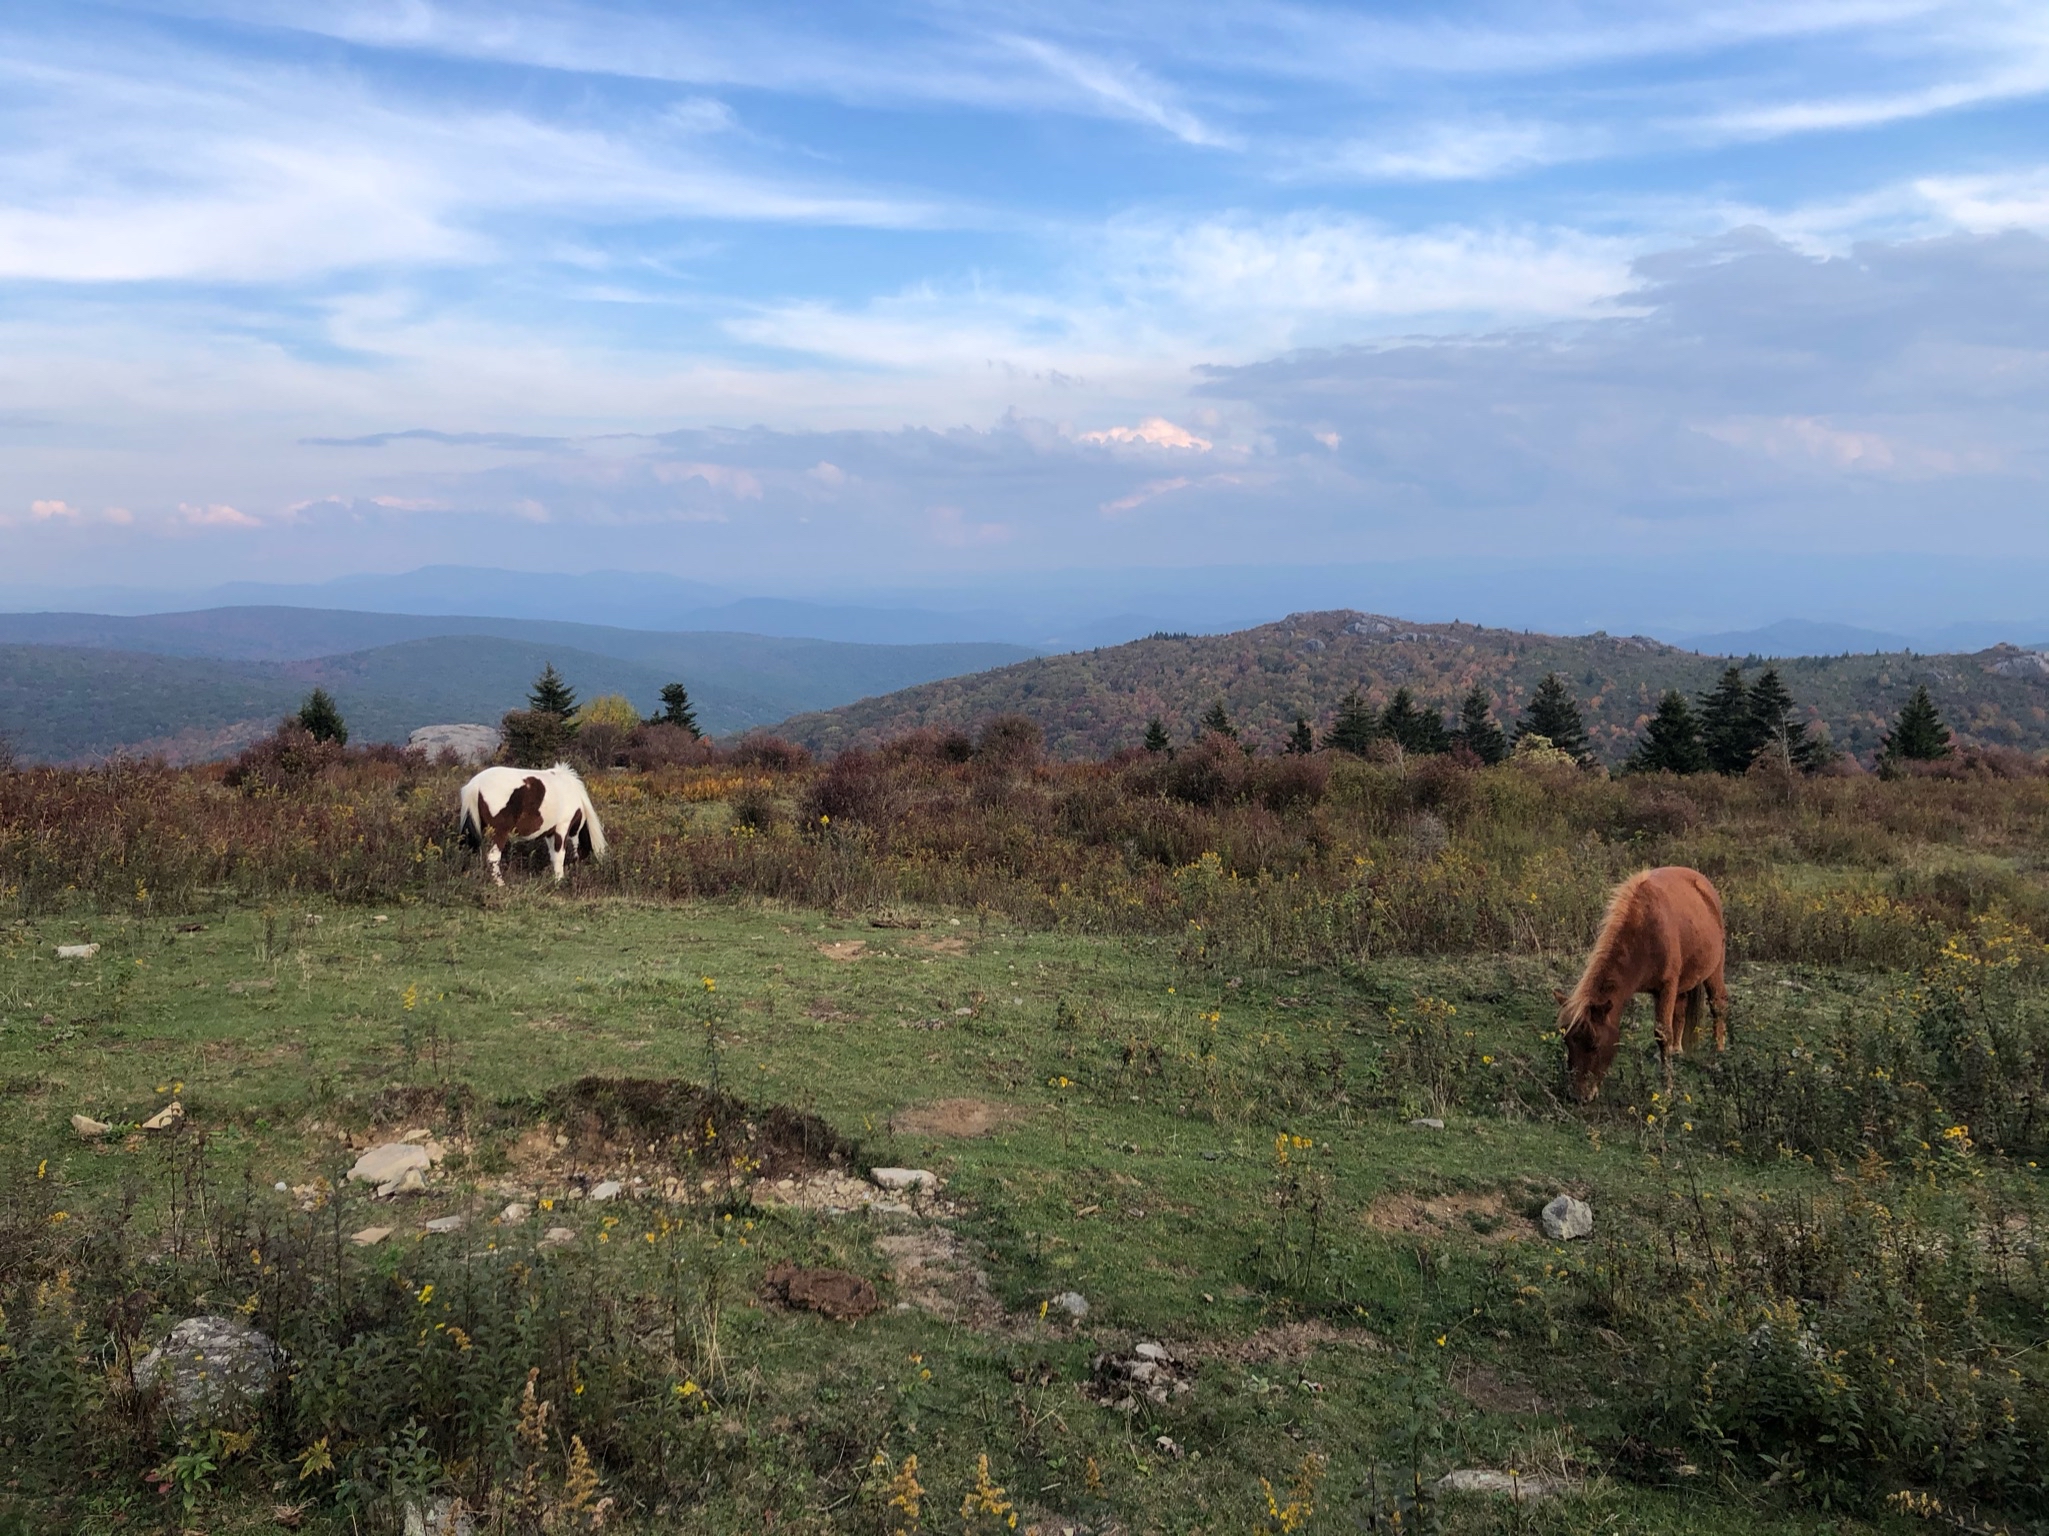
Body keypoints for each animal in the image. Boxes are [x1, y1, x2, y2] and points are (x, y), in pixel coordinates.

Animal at [458, 764, 607, 885]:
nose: (580, 876)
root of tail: (476, 784)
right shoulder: (562, 828)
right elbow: (560, 856)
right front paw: (559, 882)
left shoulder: (550, 833)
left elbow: (553, 856)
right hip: (499, 832)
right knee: (492, 857)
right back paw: (500, 884)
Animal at [1555, 866, 1728, 1102]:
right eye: (1567, 1041)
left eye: (1594, 1044)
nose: (1579, 1095)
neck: (1644, 928)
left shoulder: (1666, 987)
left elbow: (1662, 1033)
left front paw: (1667, 1088)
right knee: (1681, 1009)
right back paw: (1676, 1050)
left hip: (1714, 970)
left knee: (1718, 1006)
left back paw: (1717, 1055)